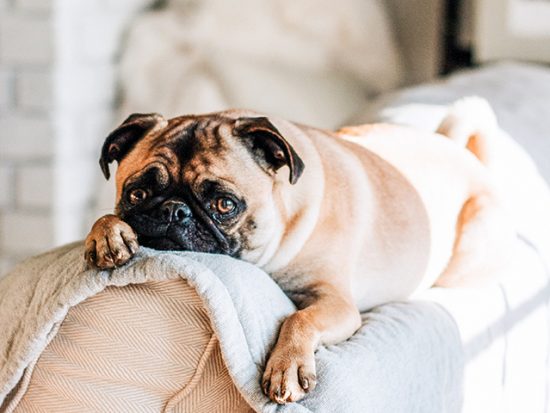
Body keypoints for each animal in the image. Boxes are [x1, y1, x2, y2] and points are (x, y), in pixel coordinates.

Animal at [86, 99, 520, 402]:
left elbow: (299, 319)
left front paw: (288, 367)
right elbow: (104, 220)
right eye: (137, 194)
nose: (174, 211)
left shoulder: (336, 303)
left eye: (225, 204)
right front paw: (107, 233)